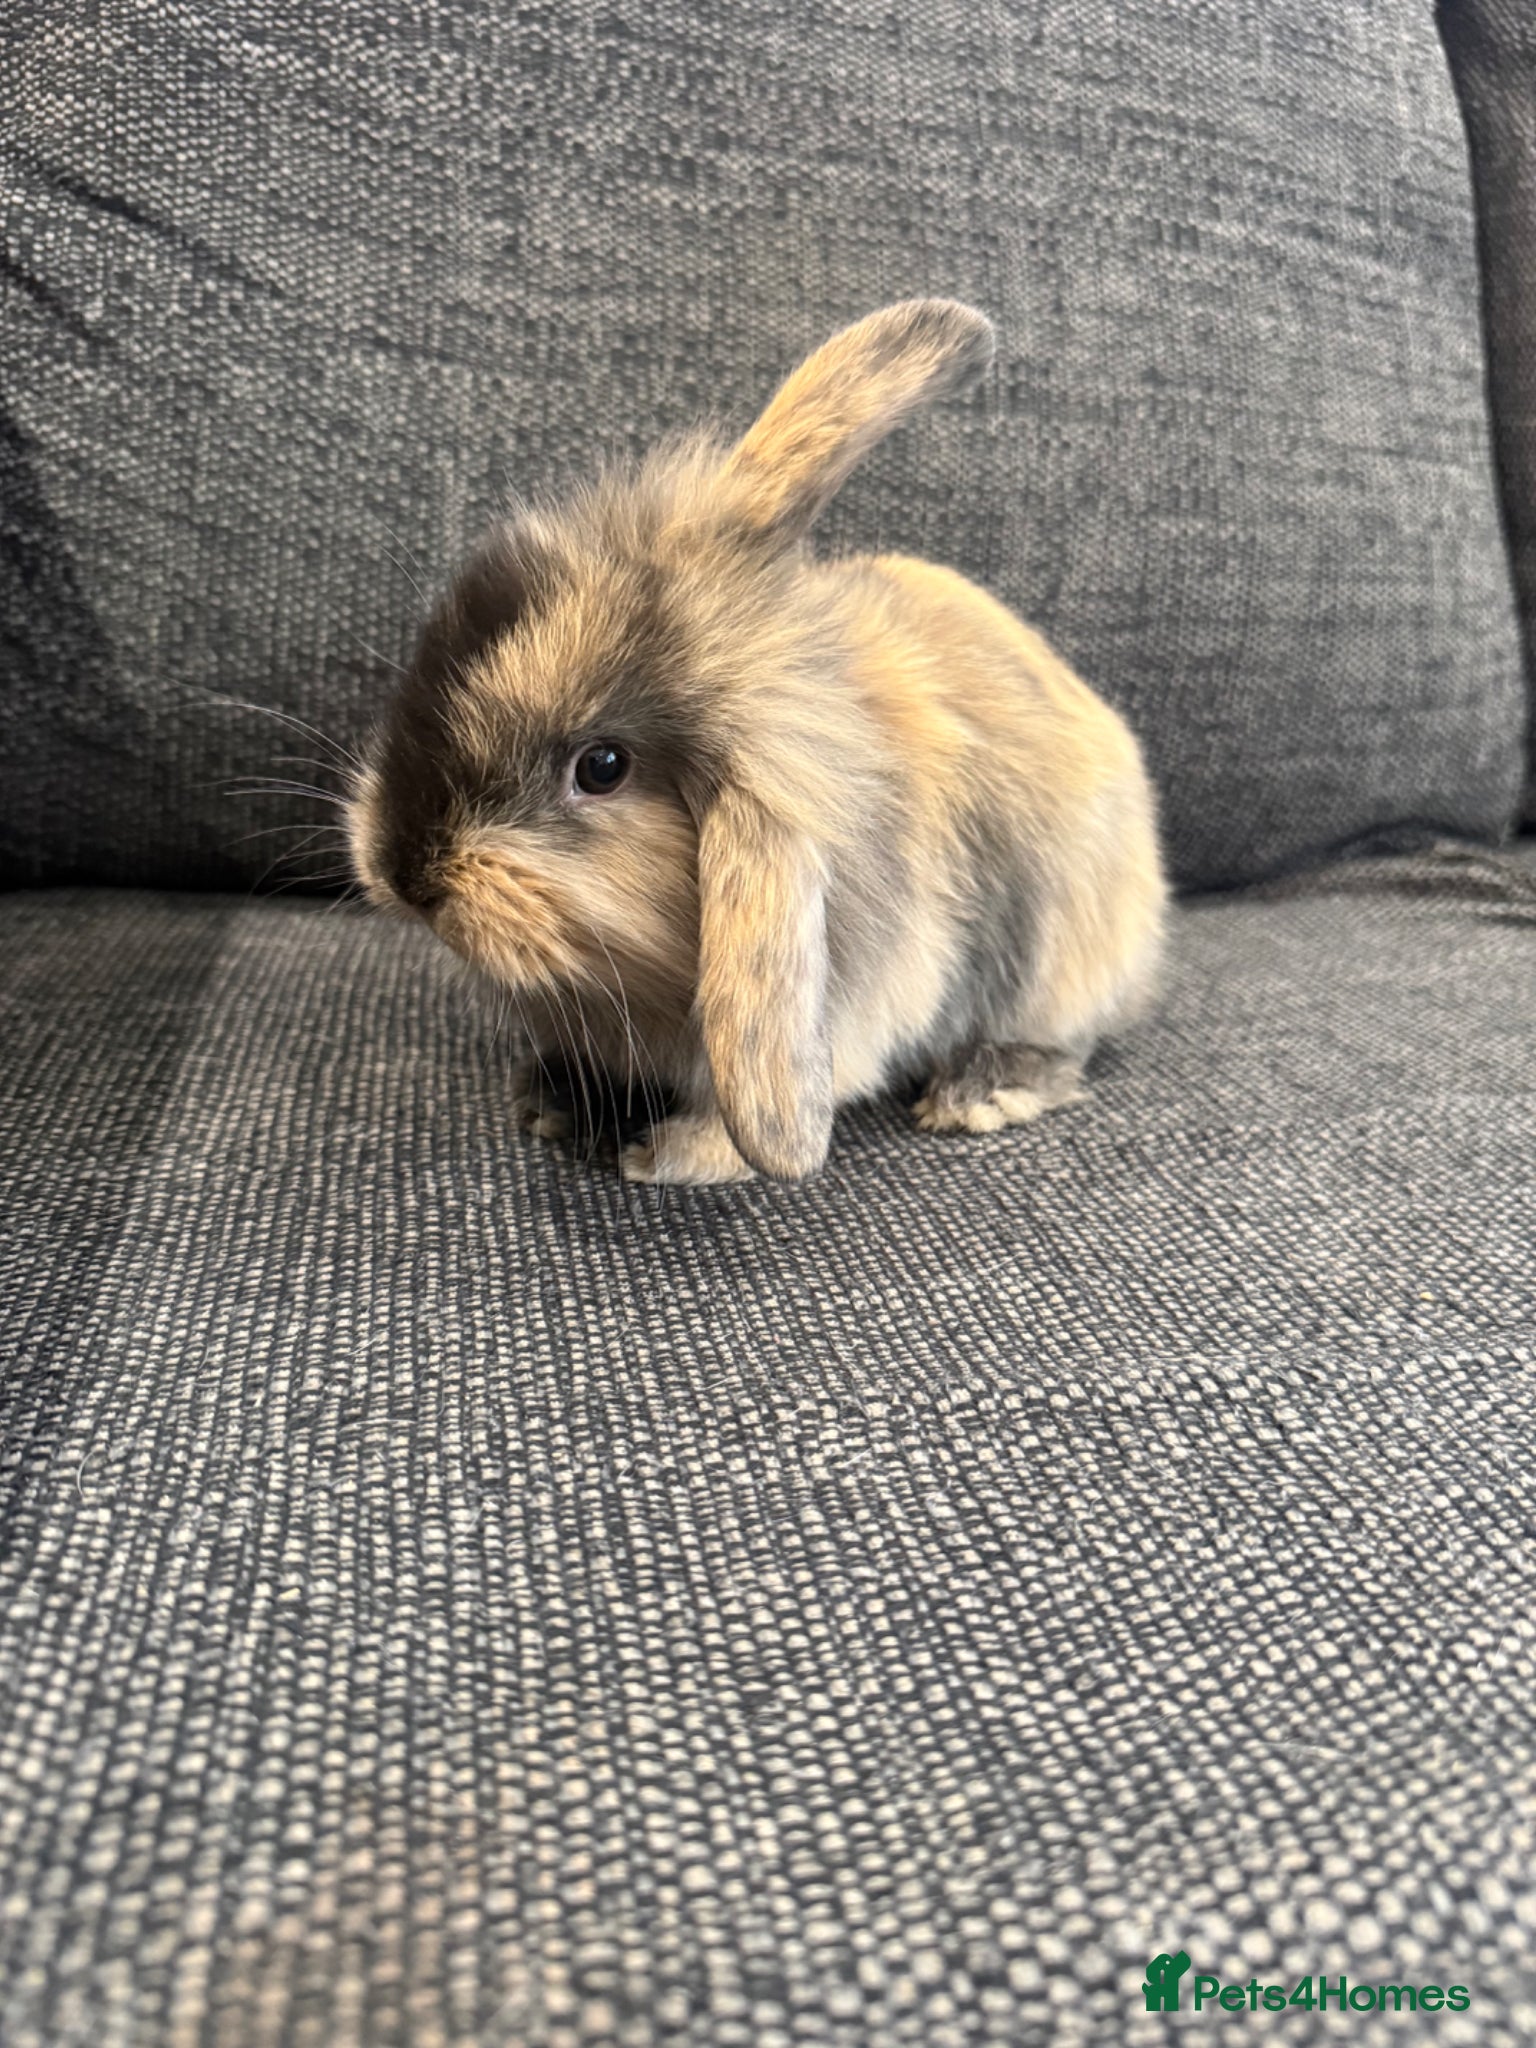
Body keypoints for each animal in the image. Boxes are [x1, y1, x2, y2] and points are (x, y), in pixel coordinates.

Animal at [347, 300, 1166, 1184]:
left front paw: (669, 1156)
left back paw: (981, 1090)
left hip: (1060, 959)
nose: (402, 871)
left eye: (601, 767)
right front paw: (555, 1103)